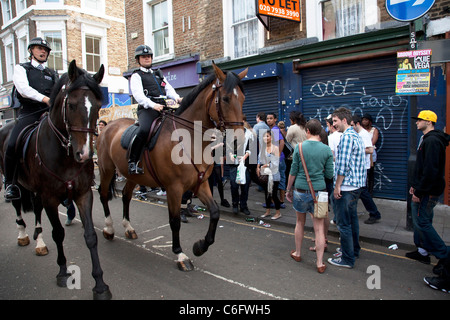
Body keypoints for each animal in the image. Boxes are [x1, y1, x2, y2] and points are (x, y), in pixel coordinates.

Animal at [0, 60, 111, 300]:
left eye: (98, 106)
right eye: (72, 105)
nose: (85, 154)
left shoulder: (82, 194)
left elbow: (90, 236)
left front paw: (100, 285)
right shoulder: (50, 197)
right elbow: (58, 233)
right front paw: (62, 272)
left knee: (36, 211)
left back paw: (39, 241)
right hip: (16, 183)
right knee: (17, 205)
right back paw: (23, 235)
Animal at [96, 63, 248, 270]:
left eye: (242, 98)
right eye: (225, 98)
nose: (239, 139)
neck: (190, 139)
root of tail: (107, 127)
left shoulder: (200, 184)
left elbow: (215, 212)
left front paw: (200, 246)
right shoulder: (174, 188)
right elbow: (175, 221)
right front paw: (180, 254)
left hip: (133, 175)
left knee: (126, 196)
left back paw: (128, 228)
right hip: (106, 170)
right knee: (104, 195)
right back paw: (109, 228)